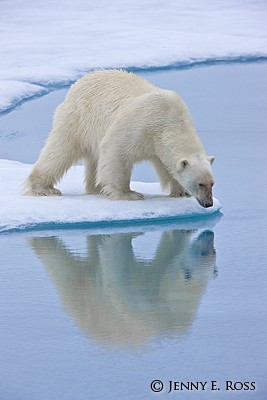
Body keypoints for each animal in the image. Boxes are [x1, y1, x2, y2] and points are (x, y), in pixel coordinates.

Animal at [24, 69, 216, 206]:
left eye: (212, 183)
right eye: (200, 184)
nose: (208, 203)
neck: (170, 118)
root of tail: (79, 81)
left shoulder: (158, 142)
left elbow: (166, 166)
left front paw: (181, 192)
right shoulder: (141, 125)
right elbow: (116, 151)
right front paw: (129, 194)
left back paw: (97, 188)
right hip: (78, 118)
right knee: (60, 150)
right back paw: (45, 188)